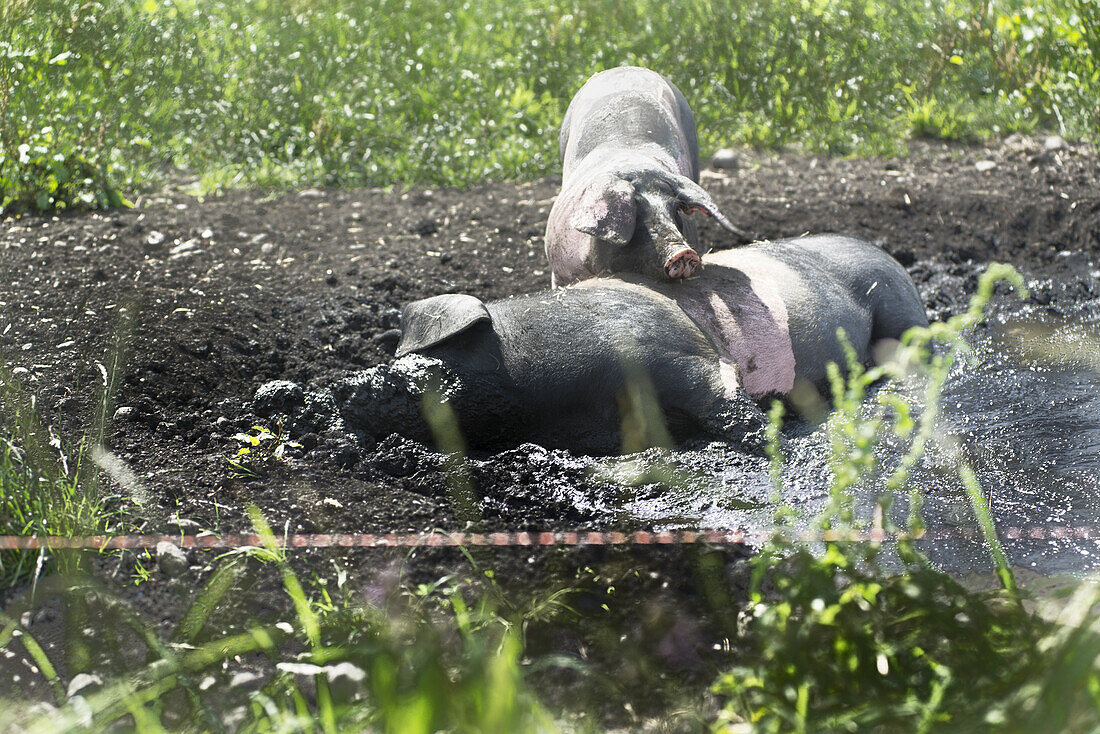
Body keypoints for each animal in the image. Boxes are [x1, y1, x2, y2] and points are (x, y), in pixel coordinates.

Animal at [257, 235, 928, 455]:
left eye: (433, 362)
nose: (350, 389)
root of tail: (890, 256)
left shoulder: (674, 351)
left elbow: (720, 394)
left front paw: (770, 437)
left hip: (898, 309)